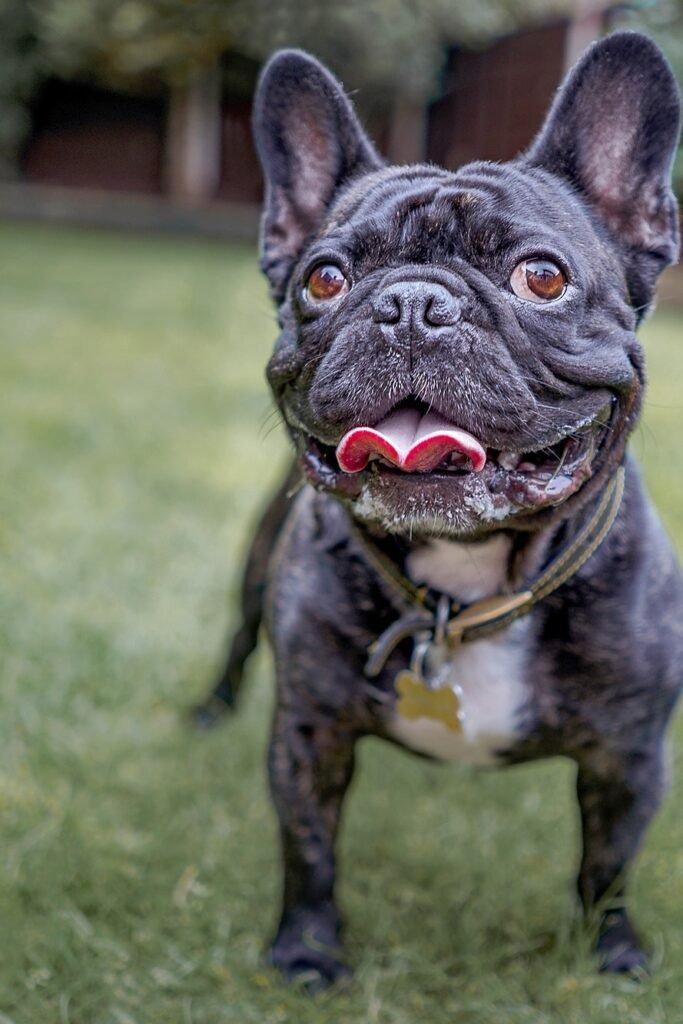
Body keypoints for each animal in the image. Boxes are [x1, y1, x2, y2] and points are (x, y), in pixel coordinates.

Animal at [201, 32, 683, 987]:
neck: (467, 584)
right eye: (324, 278)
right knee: (237, 640)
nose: (413, 303)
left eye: (542, 277)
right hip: (254, 572)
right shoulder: (308, 734)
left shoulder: (628, 756)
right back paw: (208, 711)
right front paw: (307, 953)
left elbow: (607, 864)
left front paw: (611, 955)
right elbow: (309, 848)